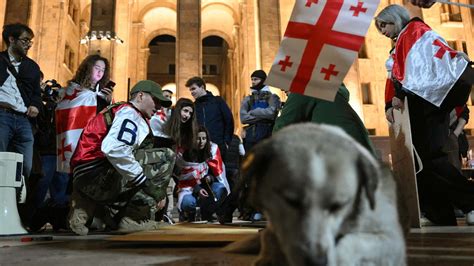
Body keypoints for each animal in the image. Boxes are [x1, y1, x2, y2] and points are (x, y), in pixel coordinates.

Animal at [239, 123, 406, 266]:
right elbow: (269, 237)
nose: (315, 262)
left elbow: (353, 242)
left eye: (338, 206)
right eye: (291, 201)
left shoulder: (392, 240)